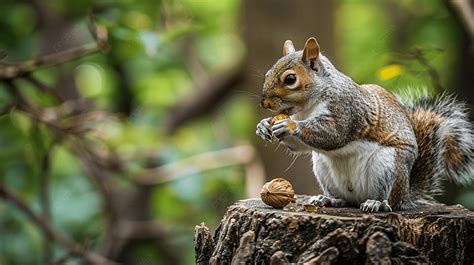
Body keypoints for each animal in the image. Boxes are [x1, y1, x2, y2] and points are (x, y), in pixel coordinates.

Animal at [258, 36, 474, 211]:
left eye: (290, 79)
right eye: (267, 74)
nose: (265, 103)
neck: (306, 108)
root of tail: (405, 196)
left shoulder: (347, 109)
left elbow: (334, 134)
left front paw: (290, 126)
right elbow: (300, 146)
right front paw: (263, 126)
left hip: (387, 166)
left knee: (388, 200)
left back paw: (376, 203)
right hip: (322, 167)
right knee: (344, 198)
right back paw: (329, 199)